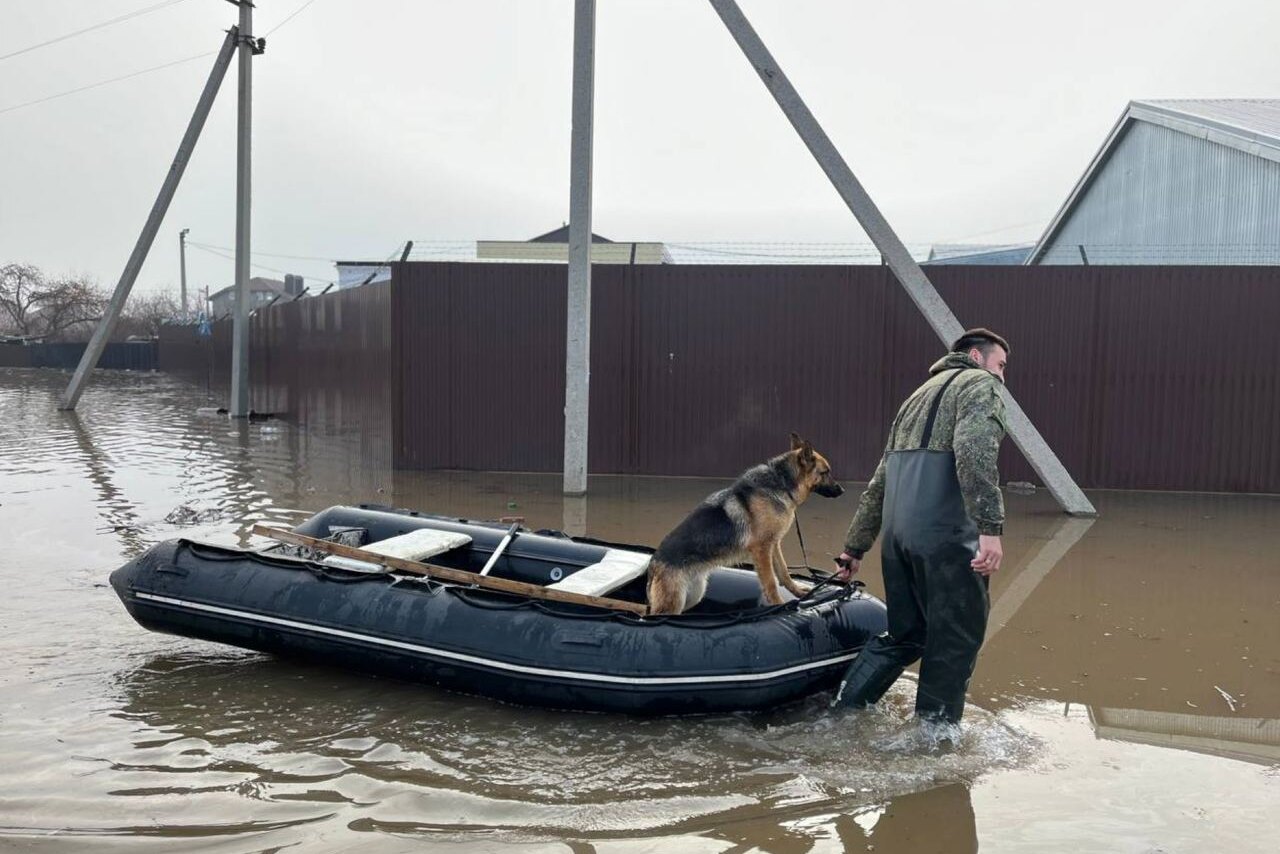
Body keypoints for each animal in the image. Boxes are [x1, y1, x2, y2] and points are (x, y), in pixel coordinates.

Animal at [645, 435, 844, 614]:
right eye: (826, 472)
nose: (842, 490)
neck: (781, 483)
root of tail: (654, 562)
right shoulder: (761, 549)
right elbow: (771, 582)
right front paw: (779, 606)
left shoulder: (774, 544)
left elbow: (783, 572)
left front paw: (797, 592)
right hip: (673, 603)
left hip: (694, 595)